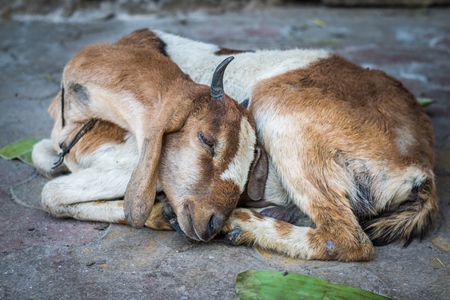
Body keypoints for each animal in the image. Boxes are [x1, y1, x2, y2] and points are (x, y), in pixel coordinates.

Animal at [30, 29, 260, 241]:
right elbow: (42, 163)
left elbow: (50, 193)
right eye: (207, 140)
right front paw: (165, 214)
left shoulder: (127, 163)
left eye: (251, 162)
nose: (214, 223)